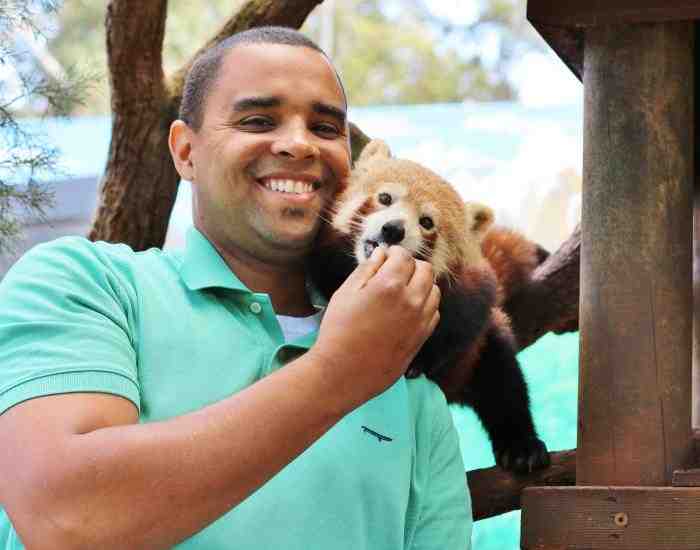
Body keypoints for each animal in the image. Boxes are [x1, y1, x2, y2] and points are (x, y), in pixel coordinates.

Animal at [307, 140, 550, 474]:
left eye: (426, 222)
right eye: (385, 198)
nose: (393, 229)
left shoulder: (472, 296)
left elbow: (459, 328)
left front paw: (417, 360)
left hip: (480, 360)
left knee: (503, 382)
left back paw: (522, 446)